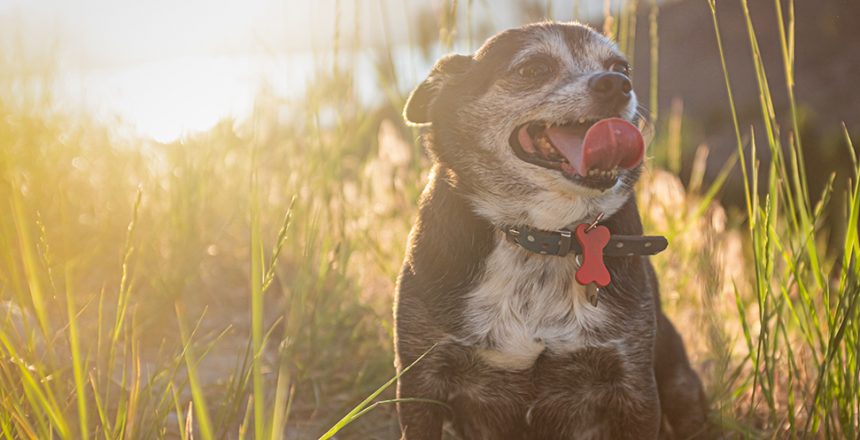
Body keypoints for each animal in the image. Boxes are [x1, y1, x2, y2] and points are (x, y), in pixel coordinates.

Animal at [394, 21, 704, 440]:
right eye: (533, 69)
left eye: (621, 68)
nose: (615, 85)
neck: (544, 235)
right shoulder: (421, 382)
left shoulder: (632, 384)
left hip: (683, 386)